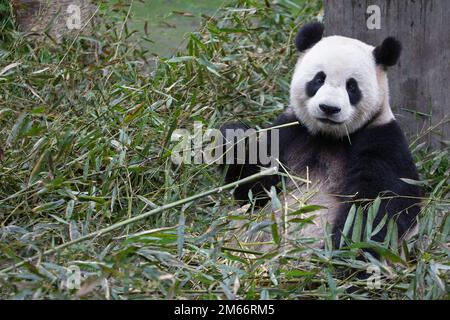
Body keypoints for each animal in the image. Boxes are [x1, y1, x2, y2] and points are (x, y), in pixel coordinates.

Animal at [221, 22, 422, 250]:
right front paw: (233, 139)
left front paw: (344, 248)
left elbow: (379, 208)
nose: (329, 108)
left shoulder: (381, 140)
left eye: (351, 86)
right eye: (319, 79)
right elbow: (253, 191)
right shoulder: (289, 133)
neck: (328, 136)